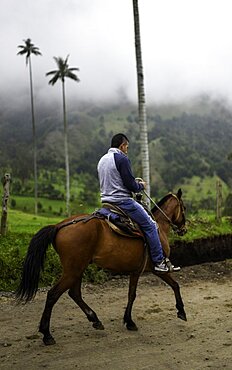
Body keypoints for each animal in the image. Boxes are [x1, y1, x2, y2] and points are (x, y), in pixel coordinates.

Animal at [15, 189, 187, 346]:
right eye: (183, 208)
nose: (184, 229)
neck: (159, 226)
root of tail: (59, 226)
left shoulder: (135, 271)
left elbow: (131, 294)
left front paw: (129, 321)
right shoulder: (156, 269)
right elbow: (174, 285)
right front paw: (181, 311)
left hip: (77, 269)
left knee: (74, 293)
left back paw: (95, 319)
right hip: (73, 271)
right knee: (53, 295)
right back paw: (47, 334)